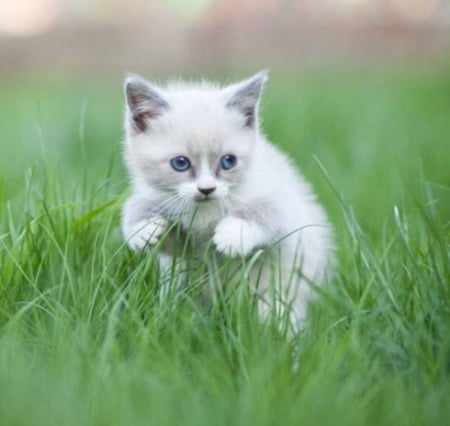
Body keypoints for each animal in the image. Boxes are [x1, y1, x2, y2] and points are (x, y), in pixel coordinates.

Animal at [121, 71, 332, 328]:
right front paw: (144, 228)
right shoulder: (183, 247)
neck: (204, 213)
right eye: (180, 163)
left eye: (228, 161)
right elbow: (139, 207)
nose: (206, 189)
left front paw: (232, 235)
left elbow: (263, 212)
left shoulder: (285, 212)